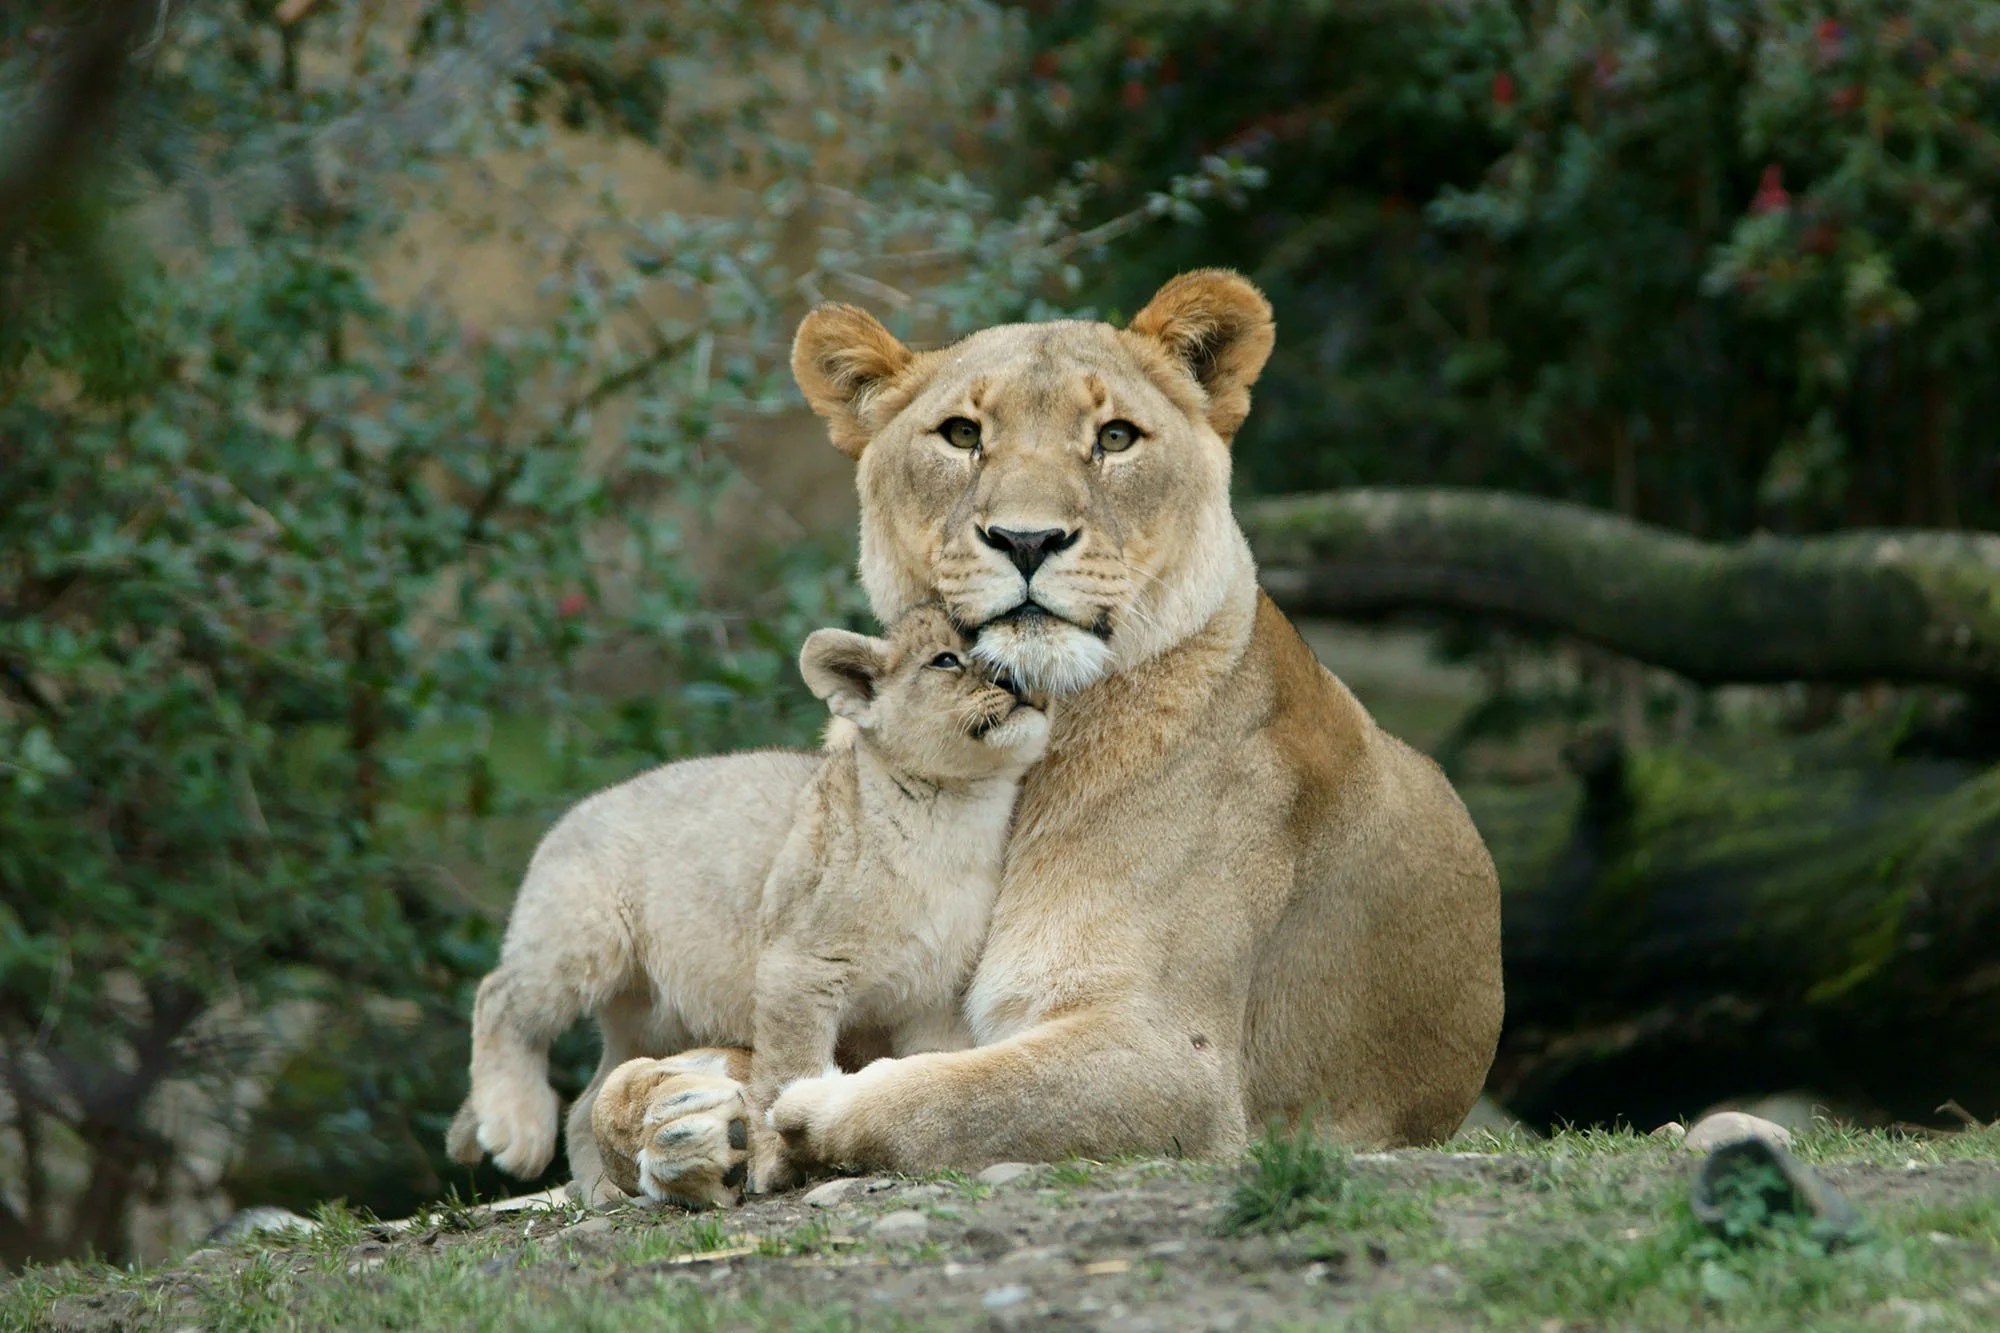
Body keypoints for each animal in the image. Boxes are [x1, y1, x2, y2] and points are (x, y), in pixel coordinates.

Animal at [445, 605, 1048, 1203]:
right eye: (946, 659)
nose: (1018, 679)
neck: (959, 813)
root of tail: (569, 817)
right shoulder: (798, 966)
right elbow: (787, 1071)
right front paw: (776, 1163)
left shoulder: (934, 992)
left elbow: (931, 1063)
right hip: (582, 941)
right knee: (499, 997)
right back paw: (517, 1131)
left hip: (656, 1016)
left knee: (589, 1099)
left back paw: (605, 1193)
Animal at [588, 268, 1504, 1200]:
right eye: (962, 434)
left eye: (1115, 436)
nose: (1026, 539)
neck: (1009, 773)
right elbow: (613, 1092)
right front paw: (680, 1114)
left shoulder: (1174, 1057)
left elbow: (956, 1094)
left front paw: (793, 1111)